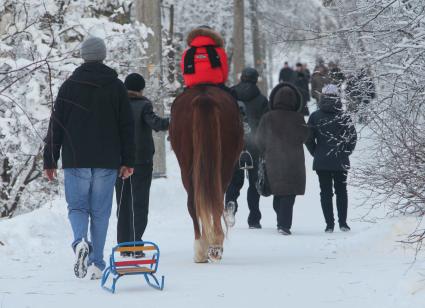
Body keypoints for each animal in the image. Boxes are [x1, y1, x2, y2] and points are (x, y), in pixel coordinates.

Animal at [168, 86, 242, 262]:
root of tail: (204, 97)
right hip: (224, 165)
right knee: (214, 199)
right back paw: (212, 245)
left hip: (188, 165)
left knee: (196, 202)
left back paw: (203, 247)